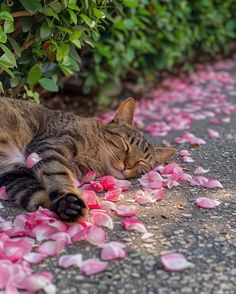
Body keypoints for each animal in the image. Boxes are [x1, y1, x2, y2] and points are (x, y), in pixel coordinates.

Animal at [0, 97, 174, 222]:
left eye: (141, 162)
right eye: (126, 145)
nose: (127, 165)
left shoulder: (15, 174)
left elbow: (34, 194)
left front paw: (64, 205)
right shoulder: (47, 147)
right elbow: (58, 174)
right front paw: (68, 199)